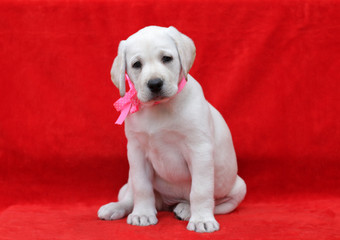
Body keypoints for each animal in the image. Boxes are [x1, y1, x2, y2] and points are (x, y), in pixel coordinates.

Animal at [97, 25, 246, 232]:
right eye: (136, 64)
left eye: (167, 58)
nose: (154, 83)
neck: (160, 107)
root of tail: (168, 203)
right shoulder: (136, 152)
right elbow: (142, 187)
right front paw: (142, 213)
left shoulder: (199, 150)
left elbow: (200, 190)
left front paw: (201, 220)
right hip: (129, 181)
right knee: (129, 196)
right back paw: (115, 208)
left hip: (238, 187)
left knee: (214, 203)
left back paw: (187, 209)